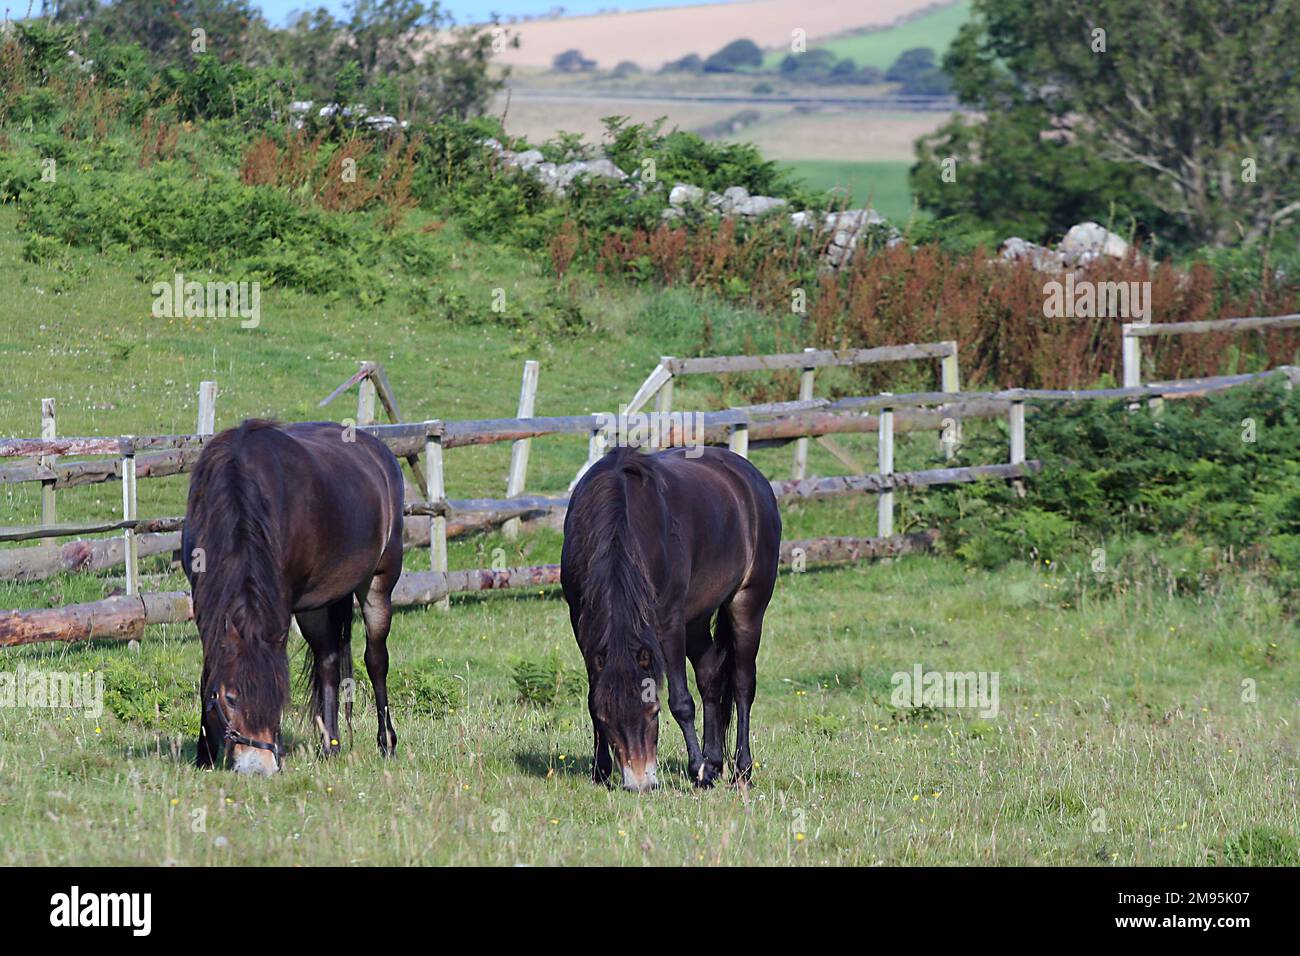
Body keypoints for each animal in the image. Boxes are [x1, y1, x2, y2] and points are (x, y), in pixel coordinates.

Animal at [183, 421, 403, 775]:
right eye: (229, 698)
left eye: (280, 694)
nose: (257, 766)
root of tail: (381, 453)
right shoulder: (203, 597)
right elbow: (208, 671)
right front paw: (205, 755)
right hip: (317, 603)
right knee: (328, 661)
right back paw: (330, 746)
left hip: (379, 582)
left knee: (376, 660)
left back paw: (387, 743)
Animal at [561, 447, 780, 790]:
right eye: (608, 719)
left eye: (653, 712)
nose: (640, 783)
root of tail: (751, 477)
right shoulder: (581, 623)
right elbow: (592, 696)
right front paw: (600, 771)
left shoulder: (669, 622)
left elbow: (681, 701)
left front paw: (698, 772)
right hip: (697, 620)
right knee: (711, 675)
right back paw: (715, 762)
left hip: (748, 604)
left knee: (743, 685)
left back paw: (741, 771)